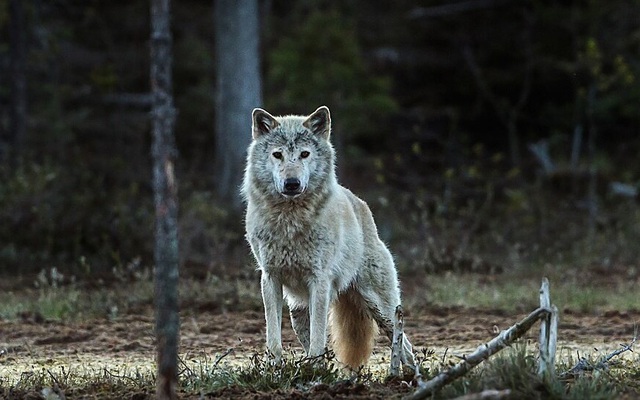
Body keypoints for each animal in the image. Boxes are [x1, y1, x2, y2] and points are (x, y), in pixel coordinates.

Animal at [241, 106, 416, 368]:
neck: (290, 222)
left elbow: (319, 337)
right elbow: (274, 337)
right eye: (277, 155)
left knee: (405, 346)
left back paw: (408, 375)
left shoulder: (319, 281)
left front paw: (315, 369)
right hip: (298, 312)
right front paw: (275, 368)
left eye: (304, 154)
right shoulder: (269, 279)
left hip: (381, 308)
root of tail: (361, 204)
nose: (291, 183)